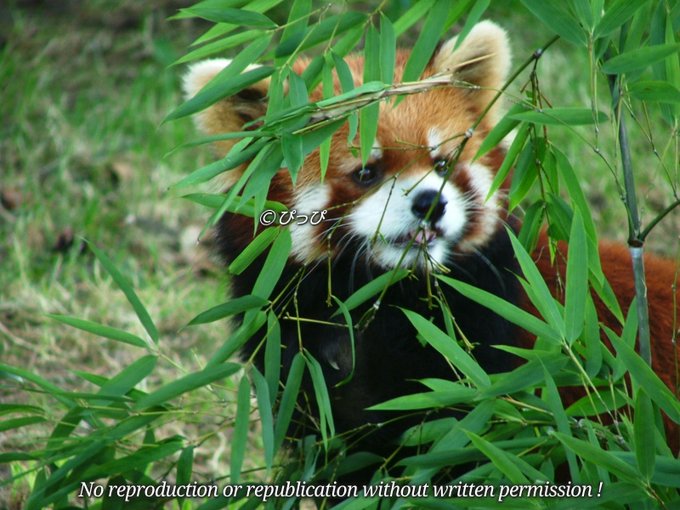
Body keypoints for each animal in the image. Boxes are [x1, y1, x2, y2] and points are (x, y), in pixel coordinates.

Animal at [183, 21, 676, 478]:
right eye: (366, 173)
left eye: (442, 164)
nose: (429, 203)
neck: (382, 303)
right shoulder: (298, 367)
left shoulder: (486, 369)